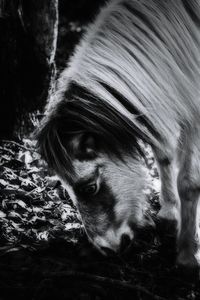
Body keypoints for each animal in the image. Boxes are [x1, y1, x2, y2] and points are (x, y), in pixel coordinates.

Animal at [36, 0, 200, 268]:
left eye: (90, 187)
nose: (106, 248)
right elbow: (164, 155)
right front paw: (169, 214)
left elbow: (188, 182)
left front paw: (187, 254)